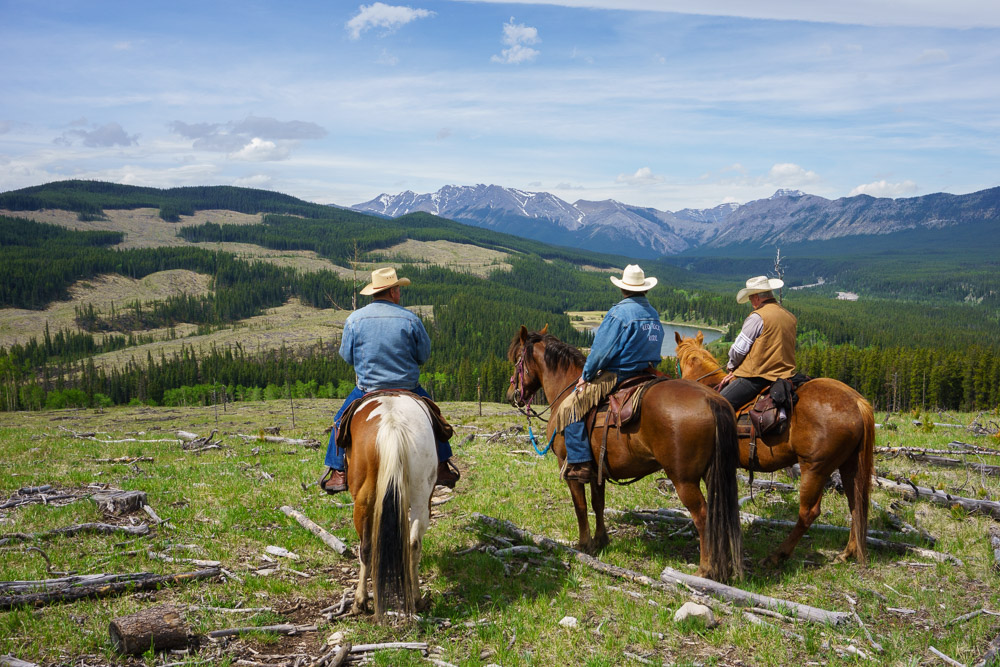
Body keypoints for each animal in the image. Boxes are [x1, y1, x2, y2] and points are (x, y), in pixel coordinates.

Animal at [346, 394, 436, 620]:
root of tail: (392, 424)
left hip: (363, 501)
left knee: (366, 548)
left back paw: (360, 601)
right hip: (422, 497)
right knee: (413, 544)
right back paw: (416, 599)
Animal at [508, 326, 744, 580]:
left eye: (517, 360)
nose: (512, 394)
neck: (566, 389)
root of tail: (711, 399)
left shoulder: (568, 466)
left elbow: (580, 506)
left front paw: (584, 545)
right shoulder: (597, 470)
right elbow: (598, 503)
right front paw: (601, 541)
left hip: (684, 479)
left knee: (702, 515)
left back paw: (705, 569)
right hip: (713, 474)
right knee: (719, 514)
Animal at [672, 332, 876, 568]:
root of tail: (857, 402)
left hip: (814, 469)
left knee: (809, 512)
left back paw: (777, 555)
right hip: (849, 466)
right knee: (857, 503)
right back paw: (848, 552)